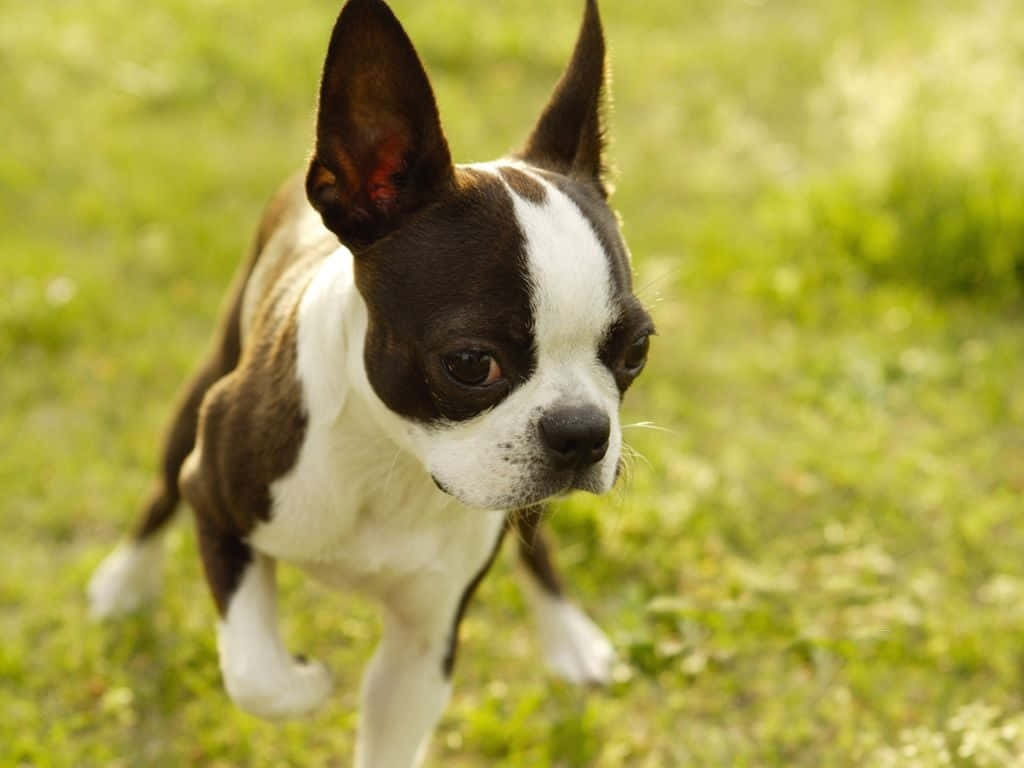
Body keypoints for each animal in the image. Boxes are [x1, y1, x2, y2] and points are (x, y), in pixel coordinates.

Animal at [92, 0, 655, 765]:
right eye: (470, 363)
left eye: (636, 351)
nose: (583, 432)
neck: (392, 461)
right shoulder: (214, 499)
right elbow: (257, 675)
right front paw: (307, 679)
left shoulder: (424, 642)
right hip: (205, 386)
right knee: (158, 493)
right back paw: (125, 582)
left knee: (534, 537)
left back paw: (569, 635)